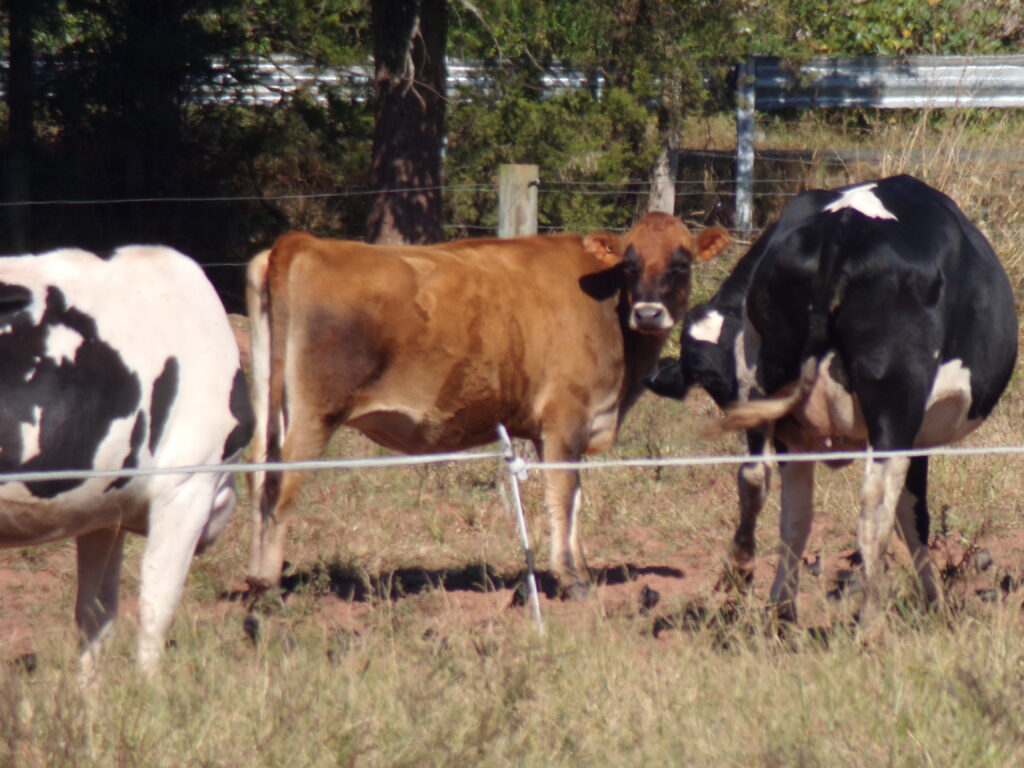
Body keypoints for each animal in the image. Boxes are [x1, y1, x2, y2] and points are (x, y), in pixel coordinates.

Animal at [246, 214, 729, 598]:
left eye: (681, 263)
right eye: (629, 264)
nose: (648, 313)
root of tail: (305, 242)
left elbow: (573, 499)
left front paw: (582, 570)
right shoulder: (566, 416)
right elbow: (563, 493)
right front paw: (571, 579)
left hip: (271, 410)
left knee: (256, 477)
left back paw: (256, 578)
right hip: (315, 414)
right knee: (280, 487)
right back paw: (267, 586)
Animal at [647, 177, 1015, 634]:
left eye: (711, 380)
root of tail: (840, 228)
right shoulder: (915, 430)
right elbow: (913, 516)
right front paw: (934, 604)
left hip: (776, 400)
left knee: (765, 487)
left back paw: (763, 594)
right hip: (895, 399)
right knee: (874, 503)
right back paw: (870, 623)